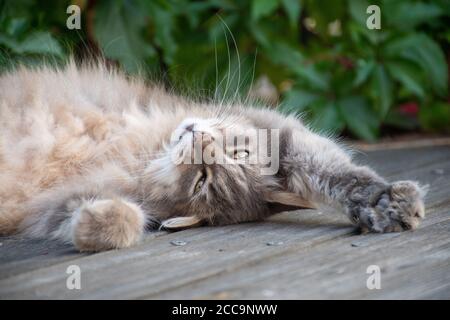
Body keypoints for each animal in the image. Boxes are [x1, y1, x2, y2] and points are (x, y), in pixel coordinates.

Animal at [0, 62, 426, 251]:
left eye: (203, 178)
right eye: (238, 149)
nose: (200, 138)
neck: (145, 152)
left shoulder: (52, 203)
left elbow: (113, 217)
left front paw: (100, 222)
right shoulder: (279, 129)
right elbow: (340, 172)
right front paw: (386, 200)